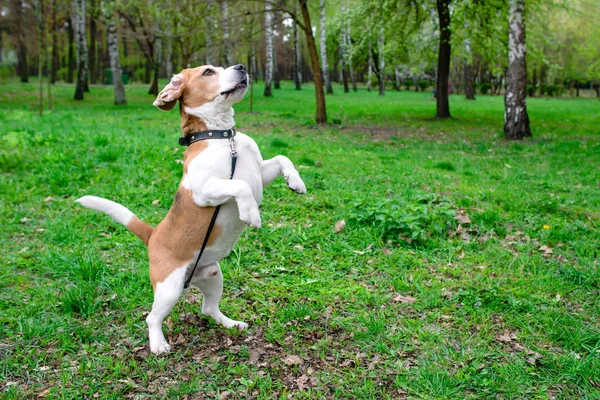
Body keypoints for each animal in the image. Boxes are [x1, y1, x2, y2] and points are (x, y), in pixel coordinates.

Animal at [77, 64, 308, 354]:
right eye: (208, 71)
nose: (241, 67)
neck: (224, 138)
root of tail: (153, 235)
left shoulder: (260, 173)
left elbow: (281, 158)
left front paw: (296, 182)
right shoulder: (204, 191)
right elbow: (241, 185)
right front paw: (251, 214)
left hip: (213, 275)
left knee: (208, 309)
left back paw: (231, 324)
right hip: (170, 289)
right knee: (151, 318)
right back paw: (158, 344)